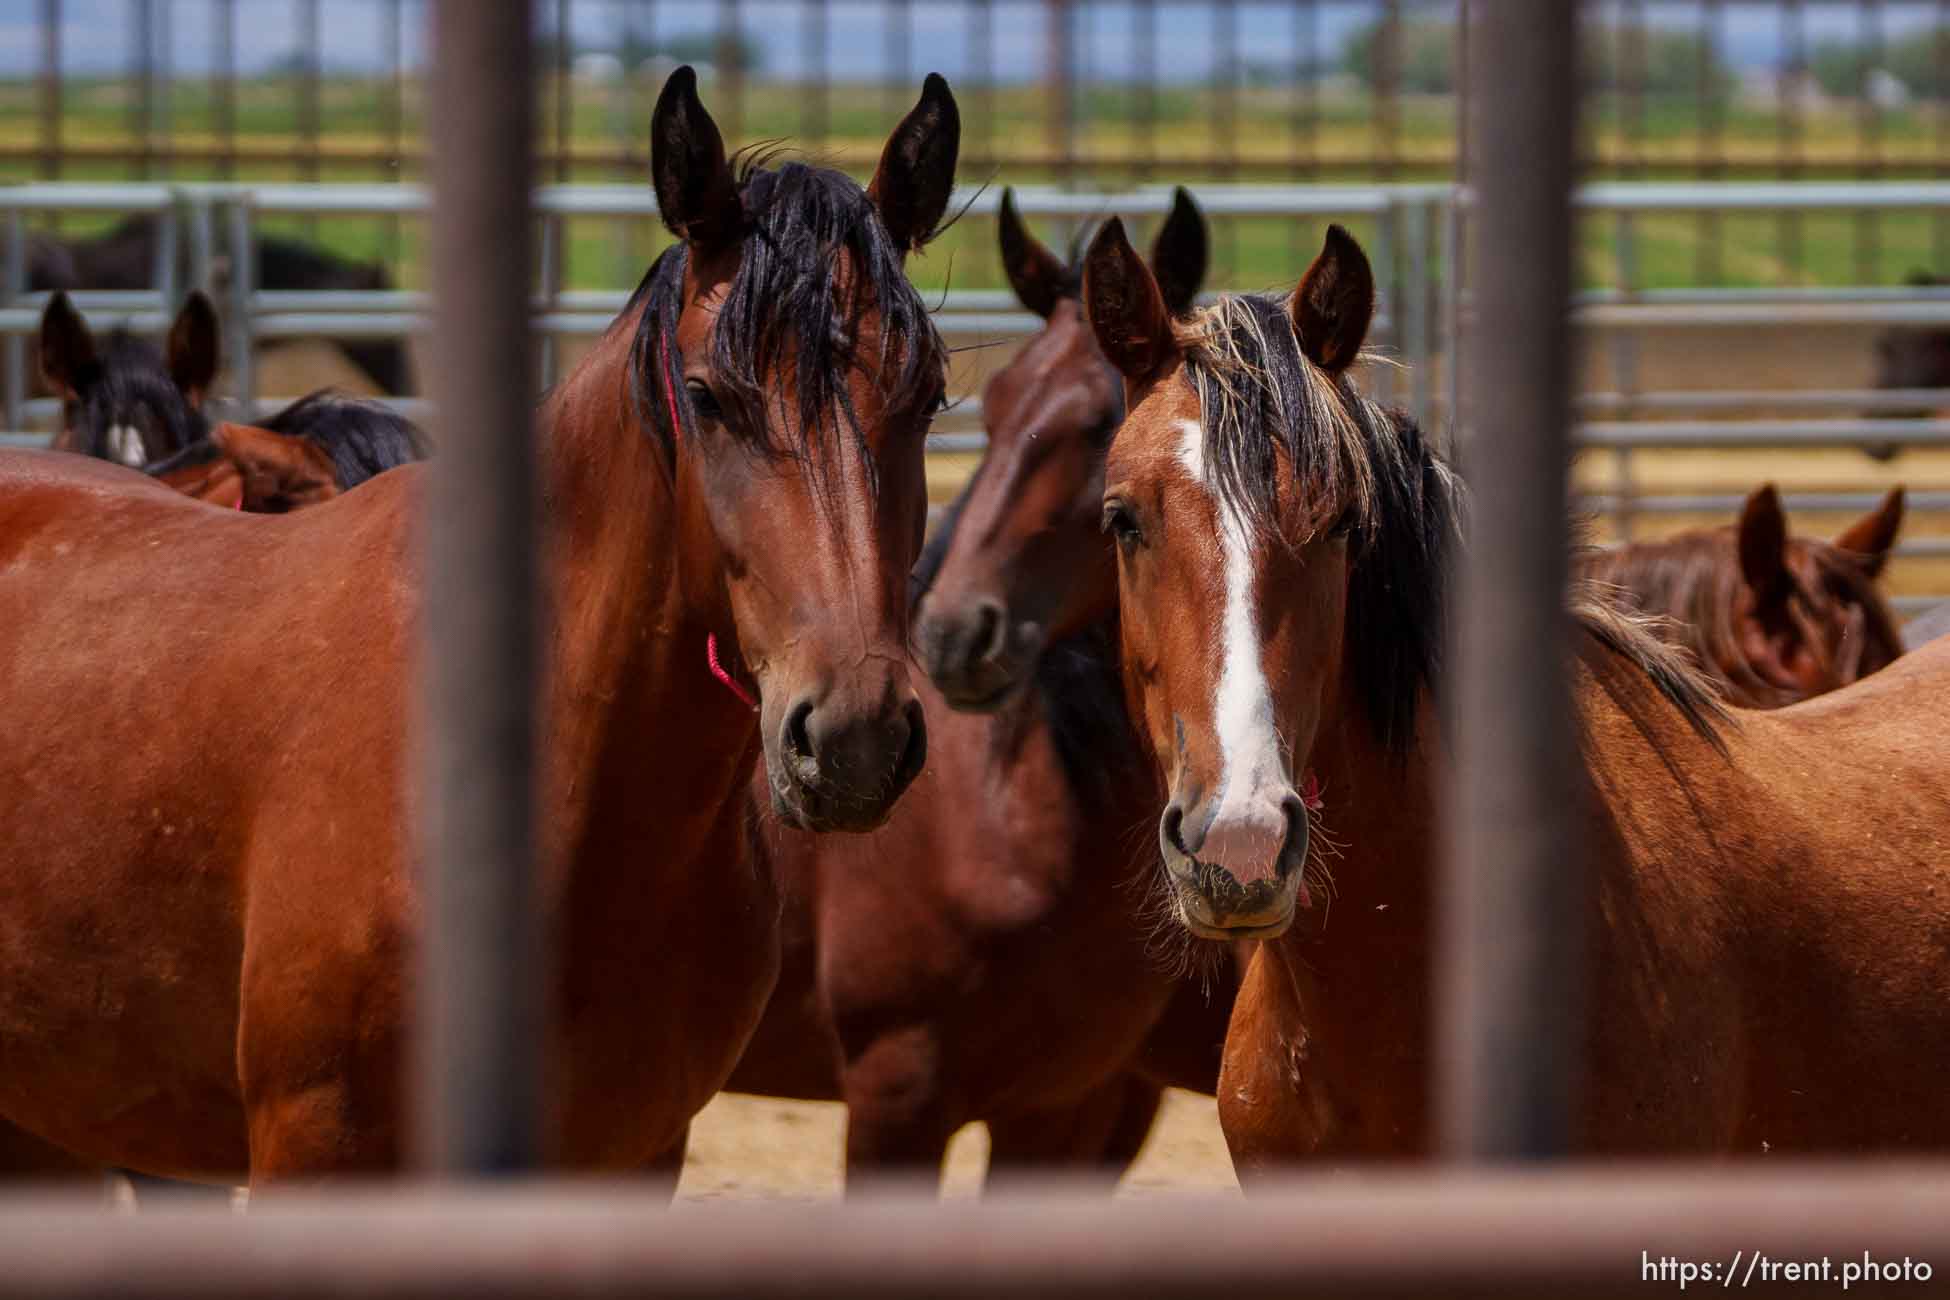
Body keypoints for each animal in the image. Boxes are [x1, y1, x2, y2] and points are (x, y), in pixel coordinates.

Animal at [725, 188, 1240, 1192]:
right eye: (995, 411)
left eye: (1101, 422)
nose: (956, 634)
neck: (997, 812)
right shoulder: (897, 1093)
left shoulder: (1063, 1112)